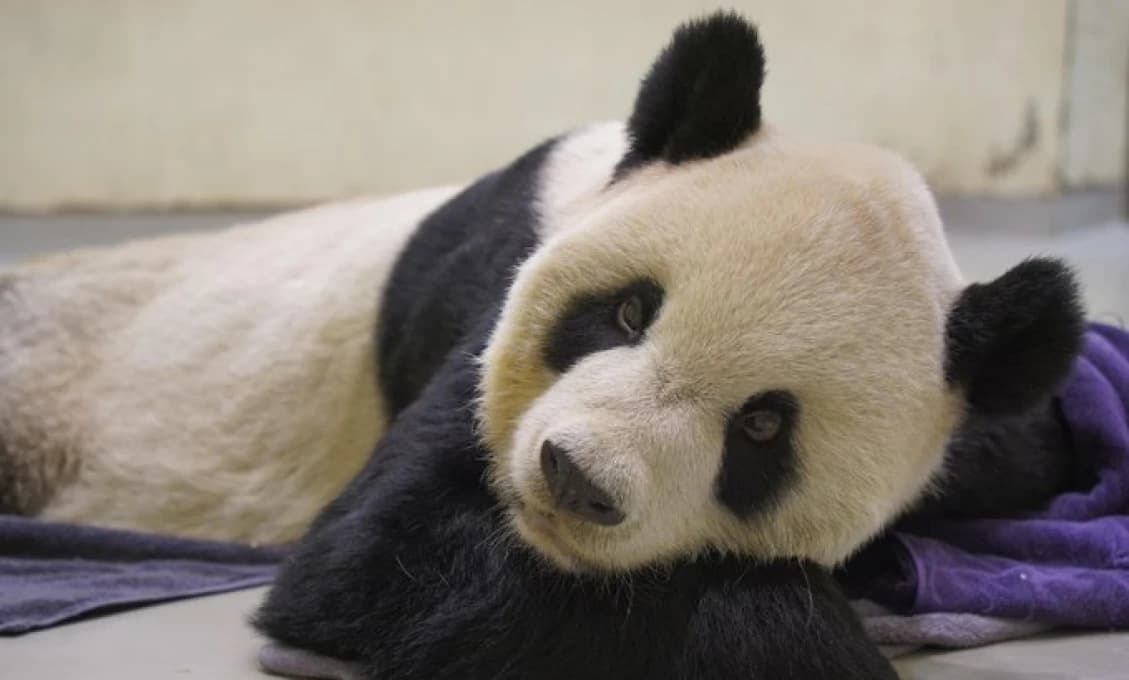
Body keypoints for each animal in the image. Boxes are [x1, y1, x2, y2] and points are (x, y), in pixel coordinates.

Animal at [254, 11, 1084, 680]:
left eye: (762, 426)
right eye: (628, 311)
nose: (573, 477)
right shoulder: (485, 321)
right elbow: (370, 556)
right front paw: (821, 647)